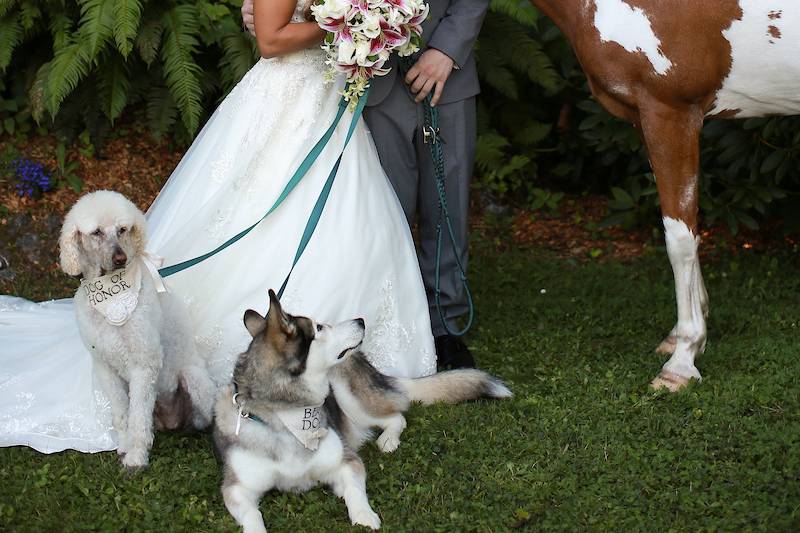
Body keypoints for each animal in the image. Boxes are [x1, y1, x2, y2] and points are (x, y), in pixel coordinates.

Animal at [216, 290, 510, 532]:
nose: (360, 320)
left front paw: (364, 516)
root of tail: (373, 369)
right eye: (319, 327)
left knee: (397, 415)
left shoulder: (346, 461)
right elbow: (253, 516)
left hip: (350, 397)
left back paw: (388, 440)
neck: (287, 418)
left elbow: (355, 490)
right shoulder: (236, 489)